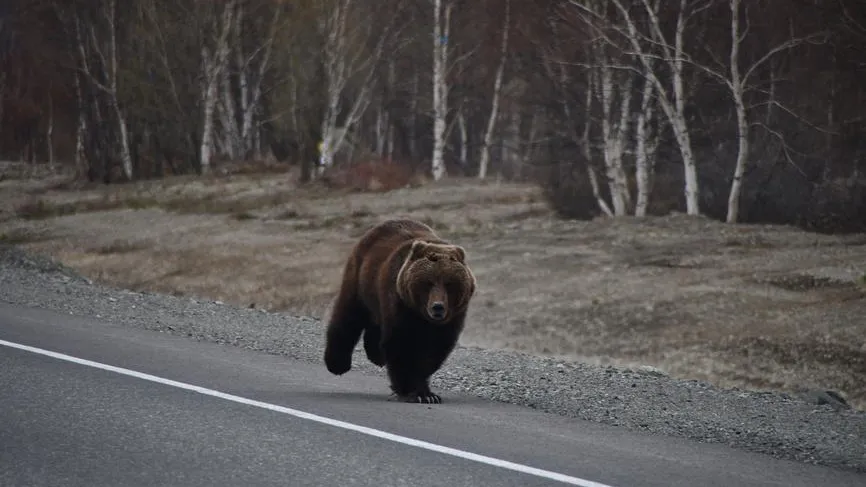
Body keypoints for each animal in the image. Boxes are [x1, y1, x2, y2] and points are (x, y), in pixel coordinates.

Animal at [323, 218, 477, 404]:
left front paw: (428, 393)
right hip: (361, 279)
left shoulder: (452, 318)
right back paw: (337, 364)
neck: (423, 317)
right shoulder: (400, 303)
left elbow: (433, 351)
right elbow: (401, 344)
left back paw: (376, 356)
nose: (437, 307)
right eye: (428, 282)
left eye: (449, 283)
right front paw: (413, 391)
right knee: (348, 315)